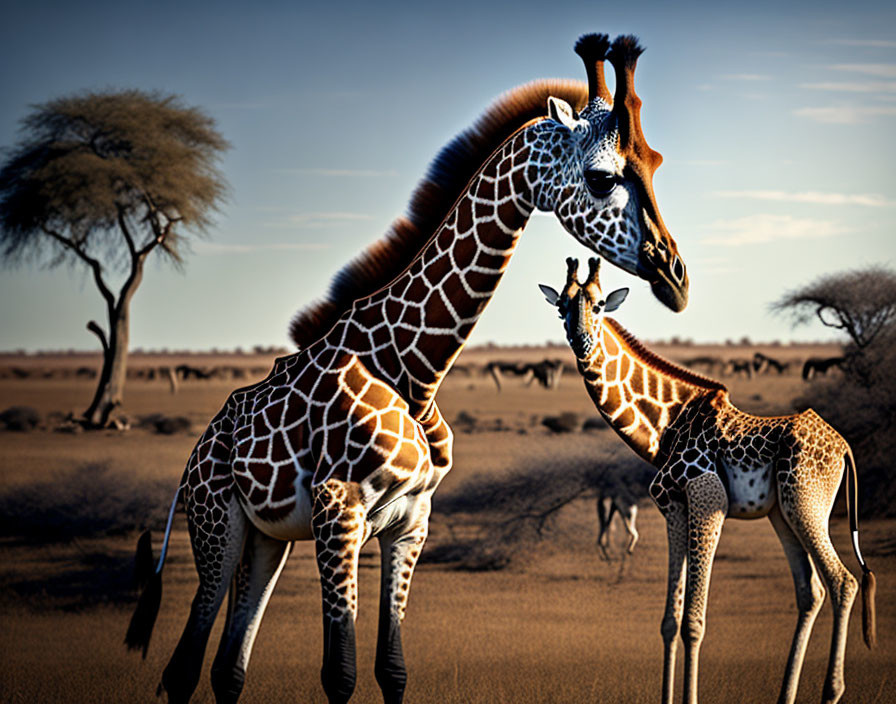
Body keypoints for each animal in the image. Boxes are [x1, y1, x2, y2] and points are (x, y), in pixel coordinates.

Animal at [124, 34, 688, 704]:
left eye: (656, 164)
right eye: (602, 178)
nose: (676, 277)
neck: (415, 370)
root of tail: (197, 453)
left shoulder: (410, 522)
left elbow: (391, 668)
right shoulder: (338, 513)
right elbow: (339, 673)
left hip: (266, 539)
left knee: (227, 668)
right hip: (216, 523)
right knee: (183, 667)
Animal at [540, 258, 876, 704]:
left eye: (598, 306)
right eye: (561, 305)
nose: (579, 342)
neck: (667, 426)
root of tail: (844, 447)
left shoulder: (707, 500)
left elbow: (694, 622)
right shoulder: (672, 508)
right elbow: (669, 620)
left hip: (807, 504)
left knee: (842, 581)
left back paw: (831, 692)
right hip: (783, 514)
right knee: (810, 591)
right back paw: (786, 694)